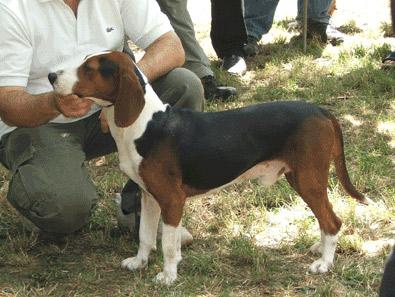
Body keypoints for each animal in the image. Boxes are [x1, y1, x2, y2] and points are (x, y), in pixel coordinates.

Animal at [48, 51, 368, 284]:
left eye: (89, 68)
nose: (51, 76)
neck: (144, 124)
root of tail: (320, 110)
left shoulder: (171, 201)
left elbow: (168, 245)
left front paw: (168, 276)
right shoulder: (148, 196)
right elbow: (146, 236)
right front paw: (139, 263)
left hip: (308, 179)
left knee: (332, 221)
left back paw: (324, 263)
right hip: (301, 179)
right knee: (325, 220)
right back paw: (319, 248)